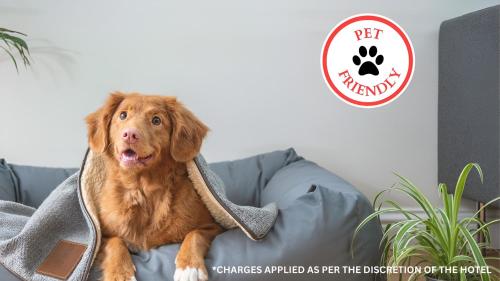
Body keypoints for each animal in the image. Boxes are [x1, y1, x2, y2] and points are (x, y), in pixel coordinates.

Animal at [86, 92, 223, 280]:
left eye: (156, 120)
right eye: (123, 115)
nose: (129, 134)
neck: (142, 189)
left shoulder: (213, 226)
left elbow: (195, 234)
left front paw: (189, 267)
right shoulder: (102, 236)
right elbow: (115, 242)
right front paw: (120, 273)